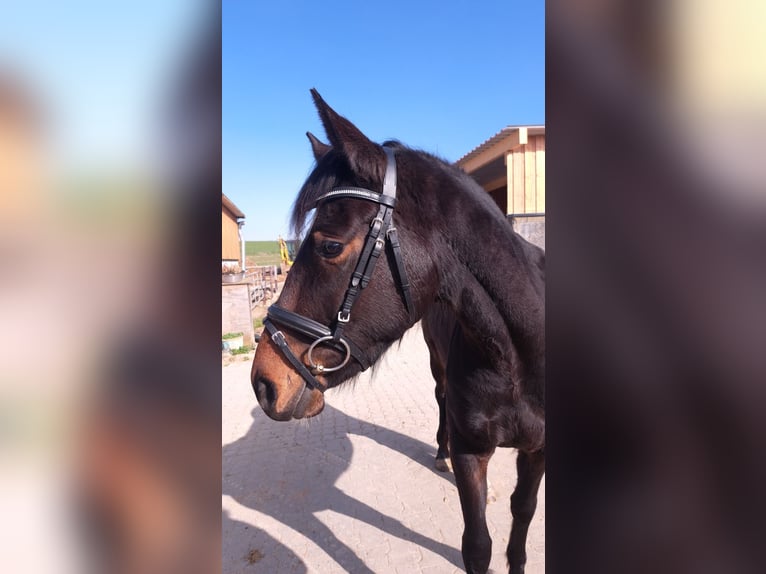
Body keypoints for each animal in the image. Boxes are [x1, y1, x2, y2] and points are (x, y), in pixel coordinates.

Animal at [251, 89, 545, 574]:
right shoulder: (472, 452)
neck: (520, 360)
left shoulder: (538, 449)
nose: (263, 382)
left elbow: (522, 512)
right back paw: (440, 453)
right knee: (440, 397)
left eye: (330, 245)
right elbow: (477, 545)